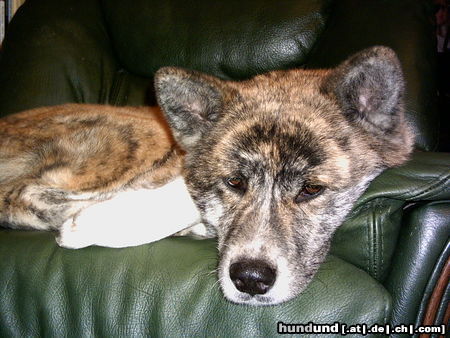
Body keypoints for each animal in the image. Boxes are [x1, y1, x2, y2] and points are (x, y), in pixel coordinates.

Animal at [0, 46, 412, 306]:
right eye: (234, 182)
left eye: (312, 188)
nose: (250, 280)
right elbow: (185, 192)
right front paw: (96, 222)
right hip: (128, 140)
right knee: (21, 195)